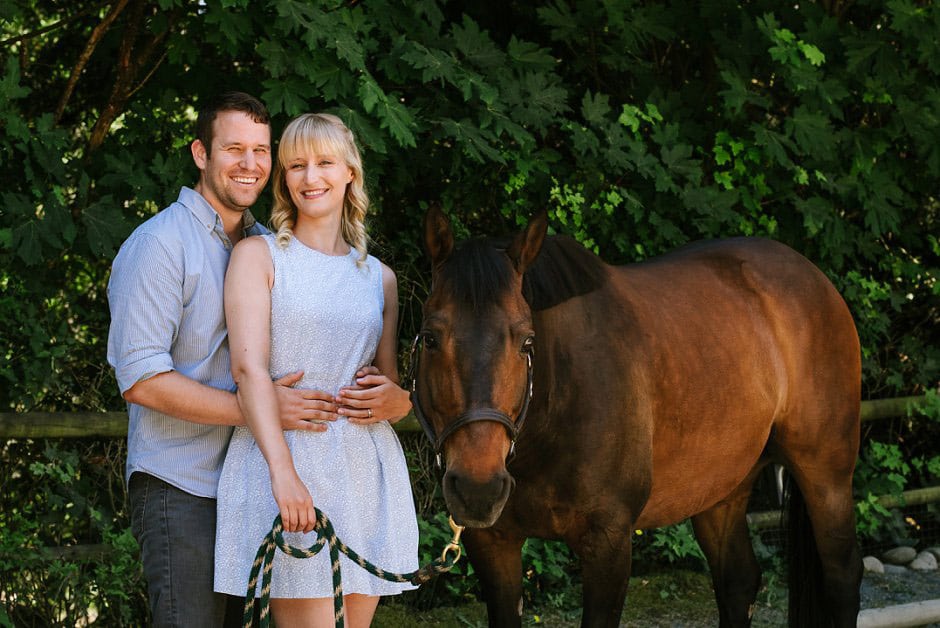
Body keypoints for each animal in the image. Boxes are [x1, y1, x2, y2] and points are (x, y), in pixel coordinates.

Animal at [408, 207, 864, 628]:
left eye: (526, 342)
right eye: (429, 338)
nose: (478, 488)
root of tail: (812, 276)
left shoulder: (609, 542)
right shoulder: (493, 542)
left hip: (827, 476)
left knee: (843, 578)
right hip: (723, 490)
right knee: (738, 581)